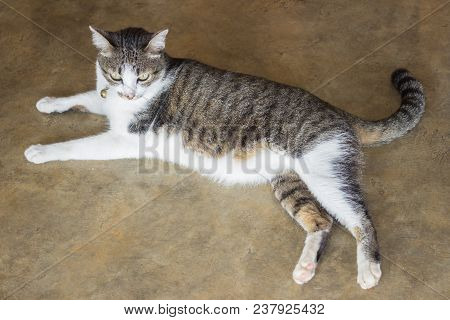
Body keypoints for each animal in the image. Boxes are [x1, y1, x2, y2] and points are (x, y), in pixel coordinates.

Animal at [24, 26, 426, 288]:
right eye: (115, 74)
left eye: (142, 77)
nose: (128, 93)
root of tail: (336, 110)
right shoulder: (107, 101)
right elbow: (86, 96)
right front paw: (50, 102)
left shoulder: (123, 138)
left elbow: (76, 145)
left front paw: (41, 150)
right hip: (288, 181)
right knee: (321, 222)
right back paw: (305, 268)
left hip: (324, 173)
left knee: (360, 218)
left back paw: (368, 270)